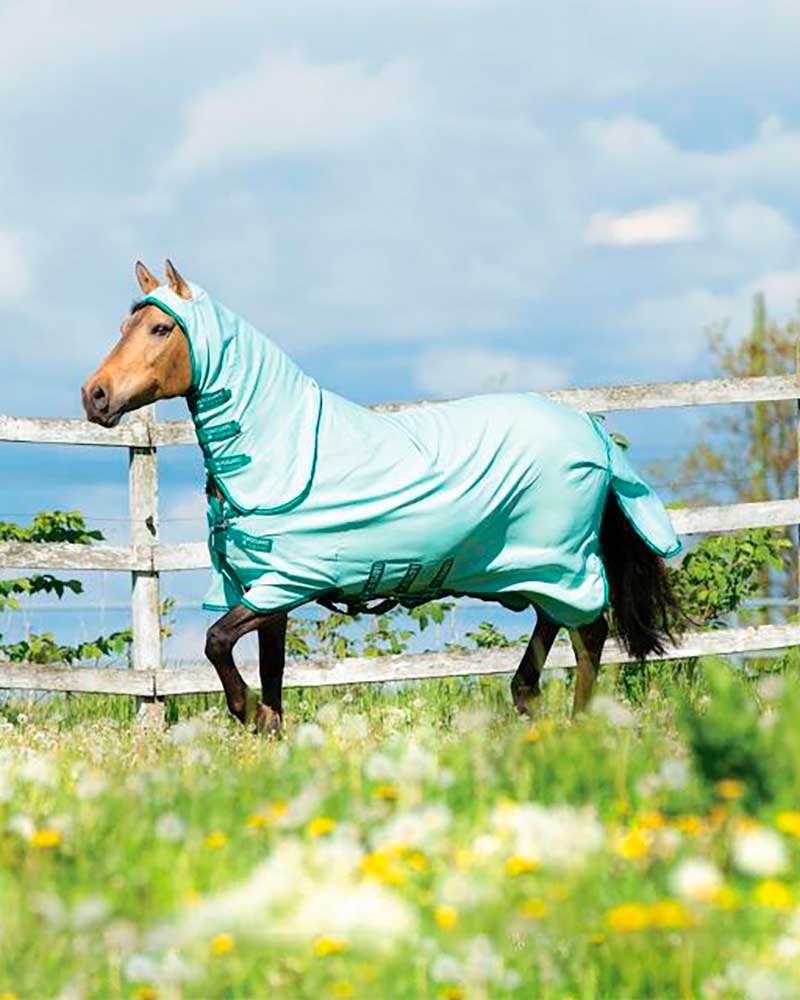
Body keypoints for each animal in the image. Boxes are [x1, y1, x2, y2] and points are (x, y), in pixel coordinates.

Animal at [82, 260, 680, 734]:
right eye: (123, 326)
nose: (95, 395)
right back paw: (530, 704)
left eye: (161, 327)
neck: (281, 450)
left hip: (560, 559)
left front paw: (245, 712)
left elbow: (215, 642)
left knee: (589, 633)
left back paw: (581, 725)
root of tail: (591, 431)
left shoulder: (289, 582)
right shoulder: (266, 595)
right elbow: (271, 682)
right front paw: (267, 731)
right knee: (553, 631)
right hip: (531, 566)